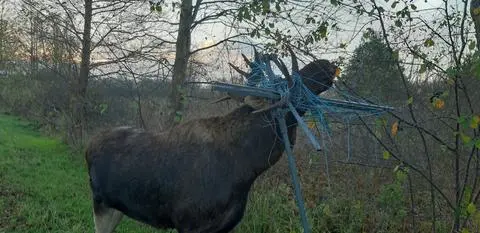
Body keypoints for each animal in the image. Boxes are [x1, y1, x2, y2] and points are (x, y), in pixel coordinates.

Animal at [84, 47, 340, 233]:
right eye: (284, 85)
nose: (324, 64)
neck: (247, 167)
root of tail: (88, 147)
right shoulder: (189, 222)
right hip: (101, 204)